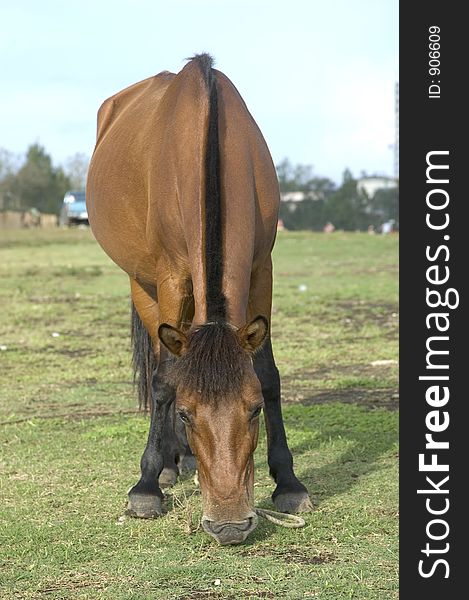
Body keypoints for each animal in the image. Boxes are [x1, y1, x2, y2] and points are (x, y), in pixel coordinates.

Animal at [86, 55, 312, 544]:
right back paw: (169, 465)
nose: (229, 526)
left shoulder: (261, 269)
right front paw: (146, 486)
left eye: (254, 411)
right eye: (188, 415)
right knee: (161, 361)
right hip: (144, 285)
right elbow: (165, 381)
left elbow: (268, 373)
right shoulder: (171, 277)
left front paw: (288, 482)